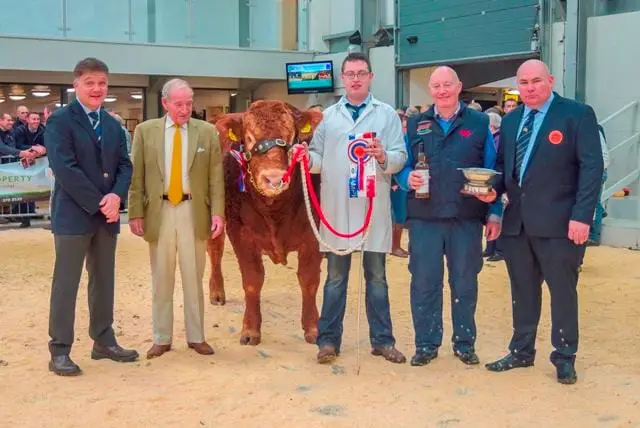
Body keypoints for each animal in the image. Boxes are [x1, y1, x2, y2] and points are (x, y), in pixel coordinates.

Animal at [206, 102, 322, 346]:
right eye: (249, 137)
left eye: (292, 137)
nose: (274, 178)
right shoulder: (240, 233)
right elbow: (252, 279)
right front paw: (250, 330)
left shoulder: (313, 235)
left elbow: (309, 280)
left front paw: (313, 327)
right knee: (215, 251)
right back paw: (217, 292)